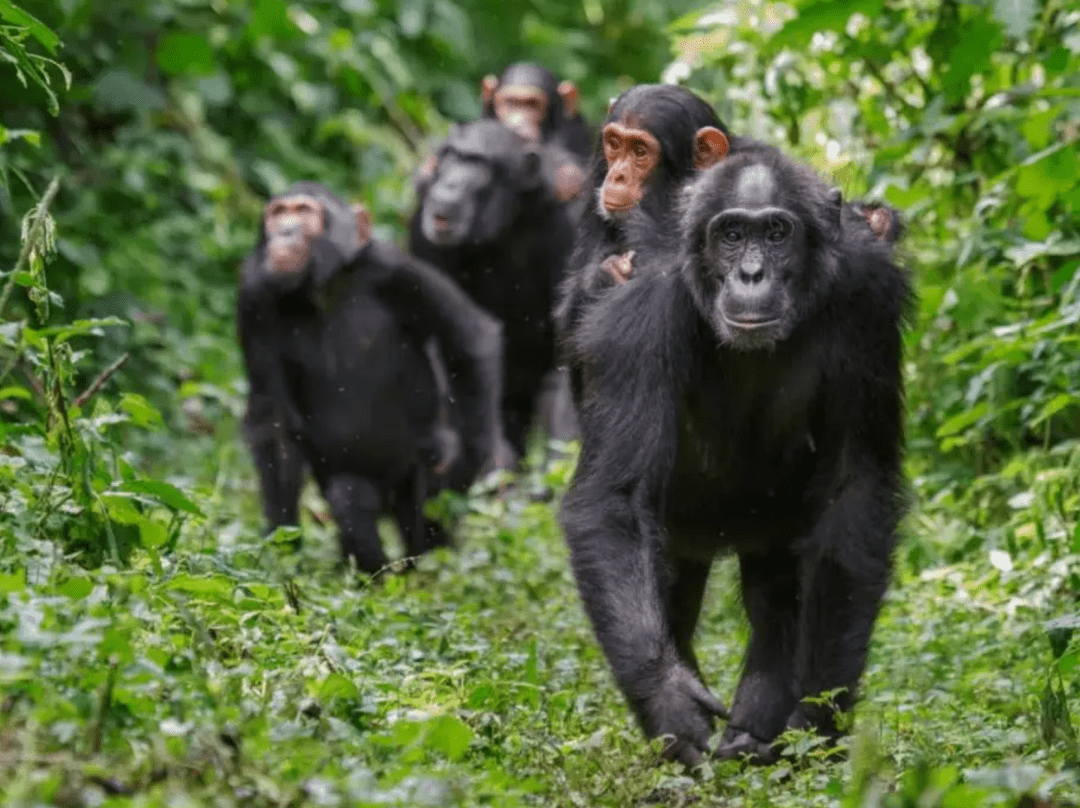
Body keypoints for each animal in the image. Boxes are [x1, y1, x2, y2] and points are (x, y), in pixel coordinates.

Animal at [239, 182, 505, 574]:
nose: (285, 232)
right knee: (350, 498)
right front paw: (280, 547)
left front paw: (470, 465)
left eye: (304, 211)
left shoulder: (394, 269)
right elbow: (272, 421)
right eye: (277, 213)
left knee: (424, 506)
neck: (325, 286)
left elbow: (467, 339)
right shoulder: (253, 294)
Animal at [557, 150, 911, 764]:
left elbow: (856, 487)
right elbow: (615, 497)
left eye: (776, 233)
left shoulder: (869, 300)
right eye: (731, 235)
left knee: (778, 598)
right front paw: (671, 701)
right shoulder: (640, 314)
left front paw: (818, 712)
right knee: (669, 591)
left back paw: (755, 735)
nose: (751, 273)